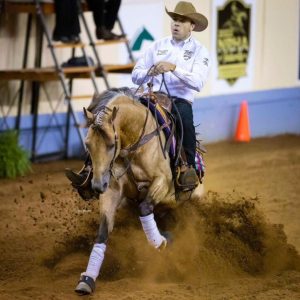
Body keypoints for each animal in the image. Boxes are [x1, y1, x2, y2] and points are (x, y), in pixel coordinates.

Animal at [70, 88, 205, 294]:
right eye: (87, 144)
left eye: (111, 144)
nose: (97, 186)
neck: (134, 145)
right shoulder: (112, 190)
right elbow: (103, 232)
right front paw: (87, 279)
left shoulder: (163, 182)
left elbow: (145, 208)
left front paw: (161, 242)